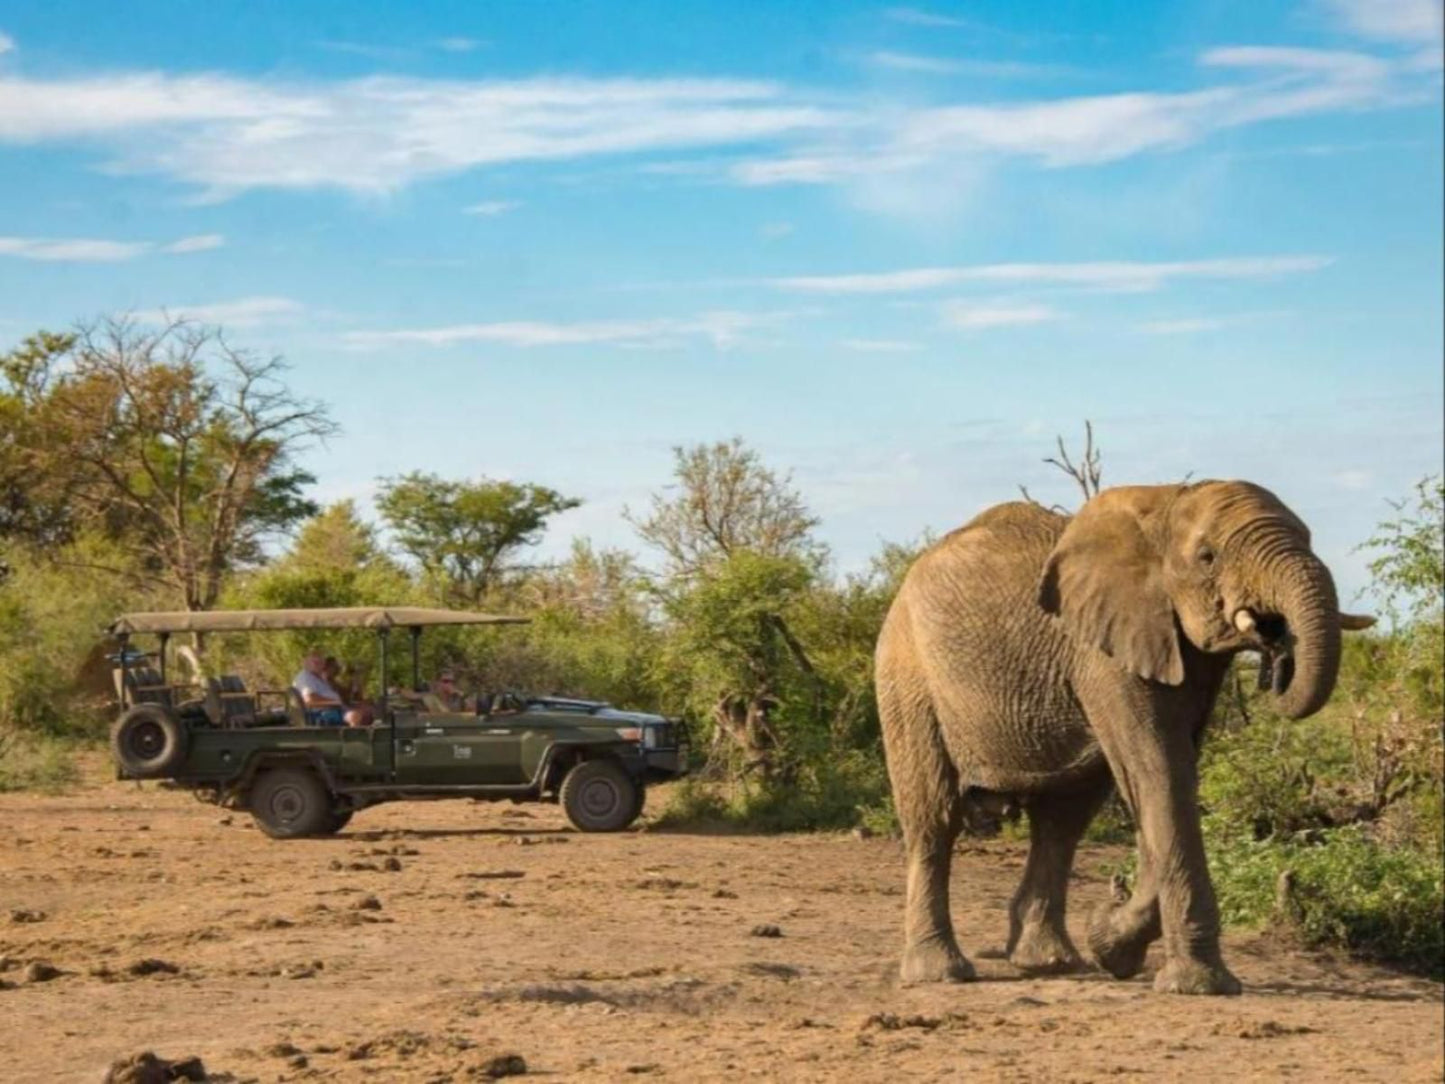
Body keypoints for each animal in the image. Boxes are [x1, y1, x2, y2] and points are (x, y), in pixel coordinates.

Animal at [872, 488, 1369, 1000]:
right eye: (1207, 557)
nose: (1277, 654)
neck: (1166, 504)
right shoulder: (1103, 654)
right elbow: (1159, 772)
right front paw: (1197, 985)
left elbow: (1167, 778)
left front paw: (1111, 946)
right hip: (906, 676)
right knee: (934, 817)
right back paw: (941, 972)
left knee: (1061, 820)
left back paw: (1050, 962)